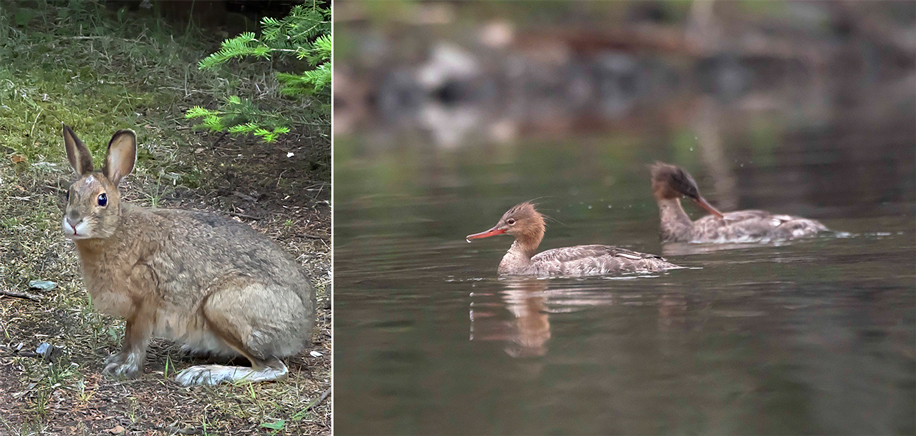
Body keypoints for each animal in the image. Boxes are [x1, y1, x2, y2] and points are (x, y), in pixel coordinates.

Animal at [61, 124, 316, 386]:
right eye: (69, 194)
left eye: (102, 199)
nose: (73, 222)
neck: (116, 230)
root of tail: (302, 327)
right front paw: (116, 360)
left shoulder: (145, 303)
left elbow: (135, 340)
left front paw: (123, 368)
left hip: (223, 305)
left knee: (272, 367)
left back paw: (202, 373)